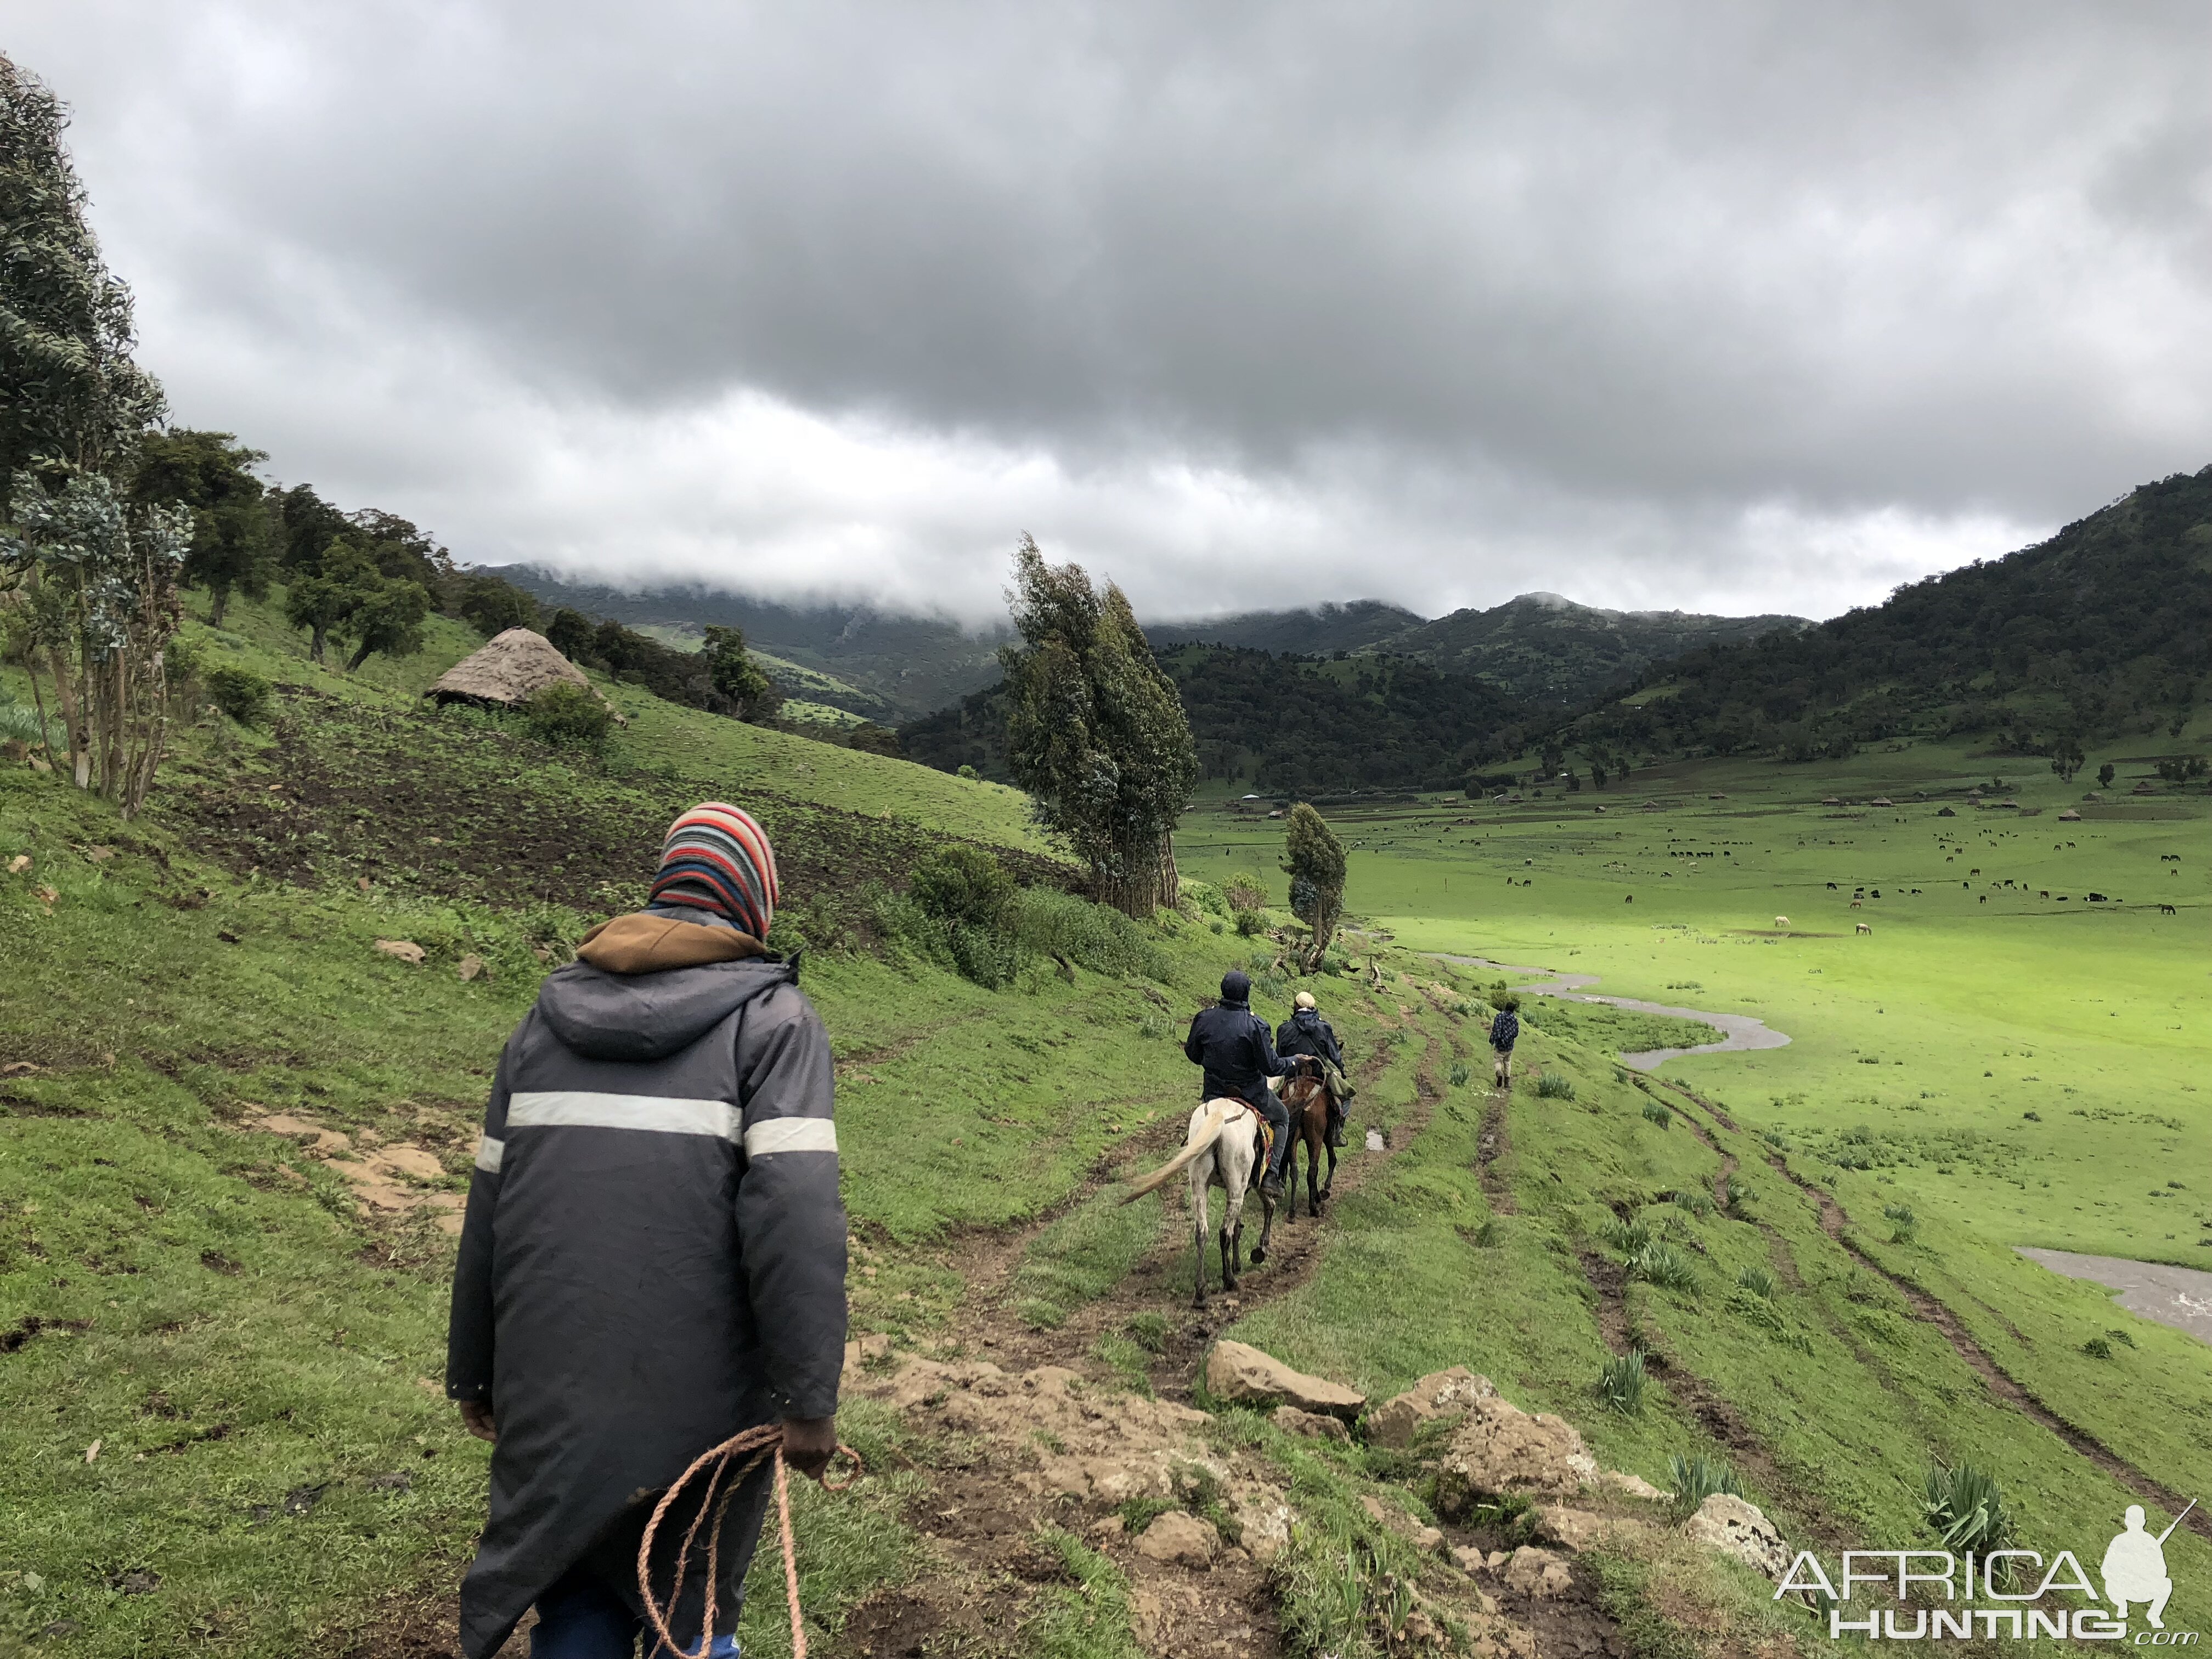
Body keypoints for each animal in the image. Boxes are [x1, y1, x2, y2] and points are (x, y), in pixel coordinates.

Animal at [1124, 1092, 1283, 1309]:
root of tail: (1219, 1117)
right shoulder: (1250, 1184)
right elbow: (1265, 1207)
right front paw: (1260, 1249)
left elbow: (1239, 1226)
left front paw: (1239, 1263)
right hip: (1235, 1187)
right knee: (1224, 1232)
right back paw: (1229, 1281)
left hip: (1199, 1187)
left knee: (1202, 1233)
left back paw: (1200, 1293)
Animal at [1283, 1066, 1327, 1221]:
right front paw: (1318, 1197)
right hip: (1316, 1140)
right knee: (1311, 1172)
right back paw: (1314, 1209)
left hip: (1293, 1140)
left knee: (1294, 1171)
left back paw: (1292, 1211)